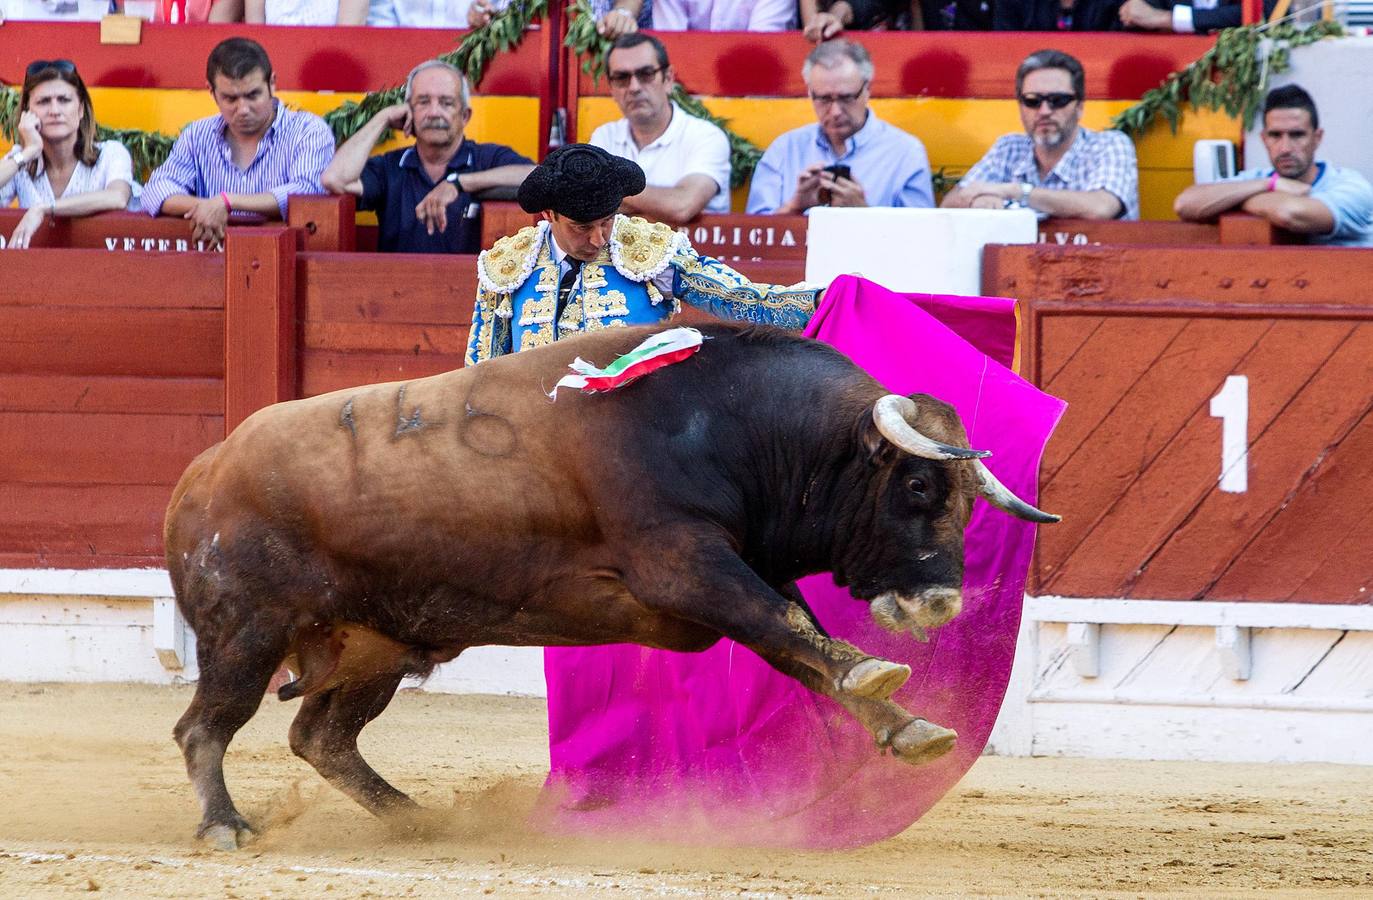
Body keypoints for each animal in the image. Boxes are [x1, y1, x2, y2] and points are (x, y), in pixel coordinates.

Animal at [163, 324, 1048, 851]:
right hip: (246, 632)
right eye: (916, 488)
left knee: (321, 738)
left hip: (374, 645)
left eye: (969, 502)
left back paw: (424, 820)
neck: (741, 428)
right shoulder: (683, 564)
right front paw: (879, 679)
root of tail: (202, 472)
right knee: (206, 726)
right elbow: (786, 628)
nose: (942, 604)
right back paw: (224, 826)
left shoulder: (737, 572)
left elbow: (799, 641)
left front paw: (910, 728)